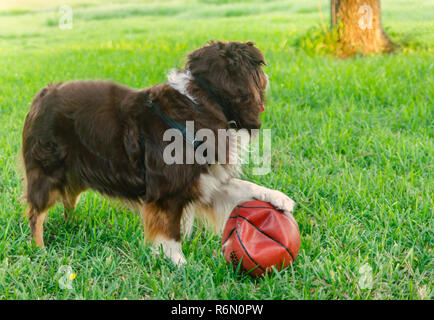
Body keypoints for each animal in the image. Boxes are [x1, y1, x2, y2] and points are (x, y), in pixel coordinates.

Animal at [22, 40, 296, 264]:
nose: (268, 74)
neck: (204, 99)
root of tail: (42, 94)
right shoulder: (168, 191)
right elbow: (169, 233)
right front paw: (181, 265)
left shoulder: (204, 180)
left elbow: (243, 186)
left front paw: (280, 199)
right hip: (47, 171)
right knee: (36, 213)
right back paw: (40, 249)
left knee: (68, 200)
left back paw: (71, 227)